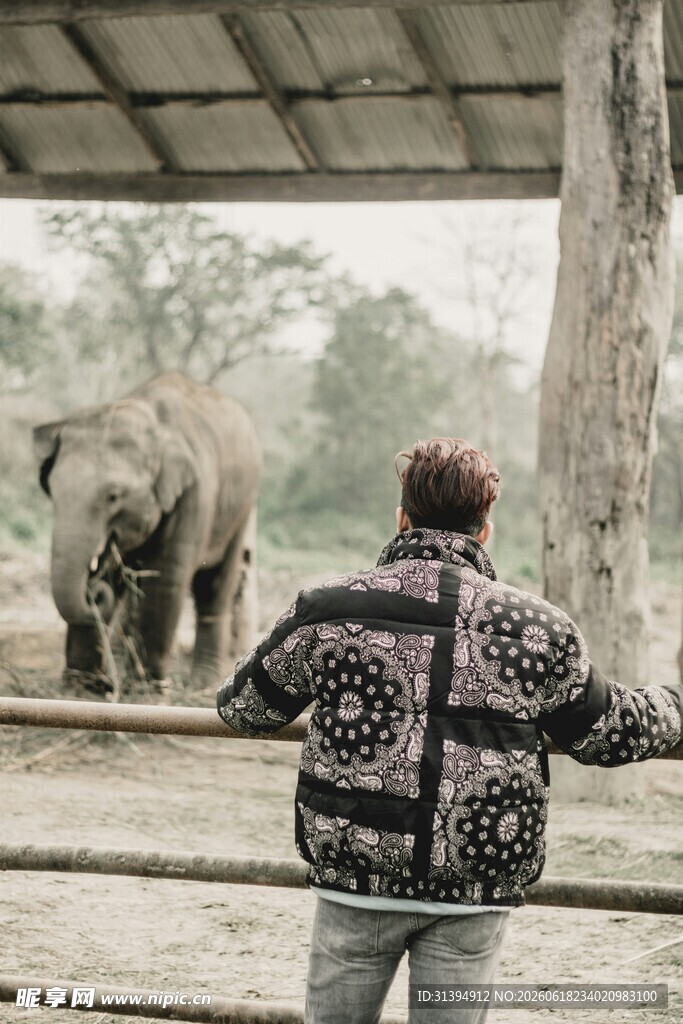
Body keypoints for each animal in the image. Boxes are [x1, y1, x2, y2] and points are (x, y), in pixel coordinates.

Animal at [33, 372, 261, 698]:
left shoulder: (195, 494)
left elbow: (166, 579)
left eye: (113, 497)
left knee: (215, 586)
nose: (93, 592)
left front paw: (144, 692)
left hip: (241, 509)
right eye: (51, 489)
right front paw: (81, 691)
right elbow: (113, 574)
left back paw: (201, 684)